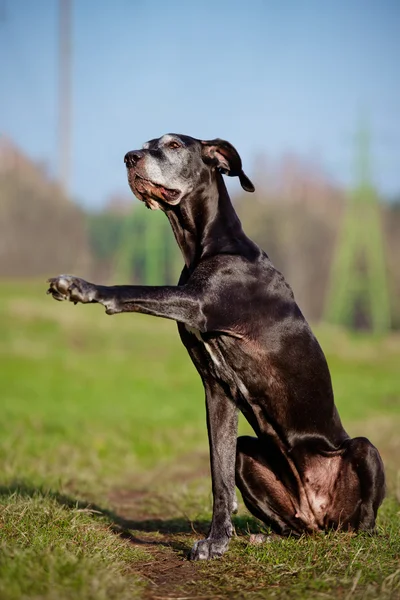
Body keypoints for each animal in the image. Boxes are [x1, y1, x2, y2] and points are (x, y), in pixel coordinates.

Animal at [46, 134, 384, 560]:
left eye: (173, 145)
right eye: (145, 143)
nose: (129, 158)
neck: (205, 243)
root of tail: (322, 515)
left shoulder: (200, 303)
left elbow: (134, 289)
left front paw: (81, 286)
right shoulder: (217, 389)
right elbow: (217, 473)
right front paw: (218, 539)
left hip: (364, 451)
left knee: (363, 521)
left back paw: (358, 537)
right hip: (251, 457)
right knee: (297, 527)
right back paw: (267, 536)